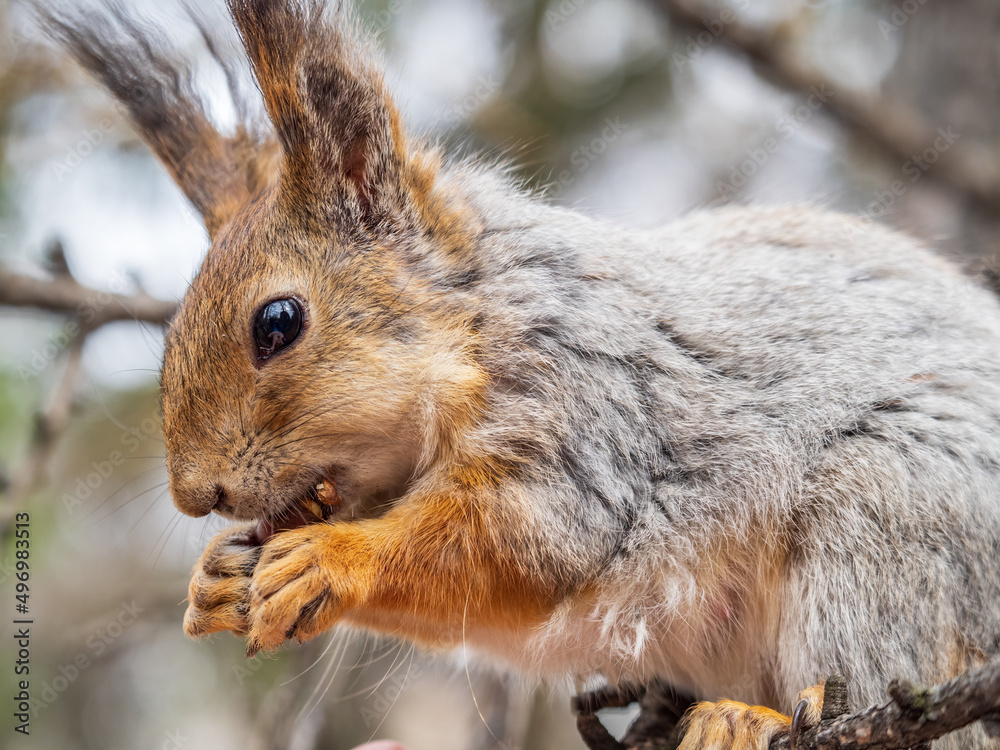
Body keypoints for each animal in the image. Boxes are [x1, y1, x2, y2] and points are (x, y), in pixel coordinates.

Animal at [43, 1, 1000, 748]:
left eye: (277, 323)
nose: (193, 496)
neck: (479, 327)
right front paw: (213, 578)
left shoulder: (586, 422)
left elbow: (517, 544)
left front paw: (334, 558)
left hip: (887, 521)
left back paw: (754, 718)